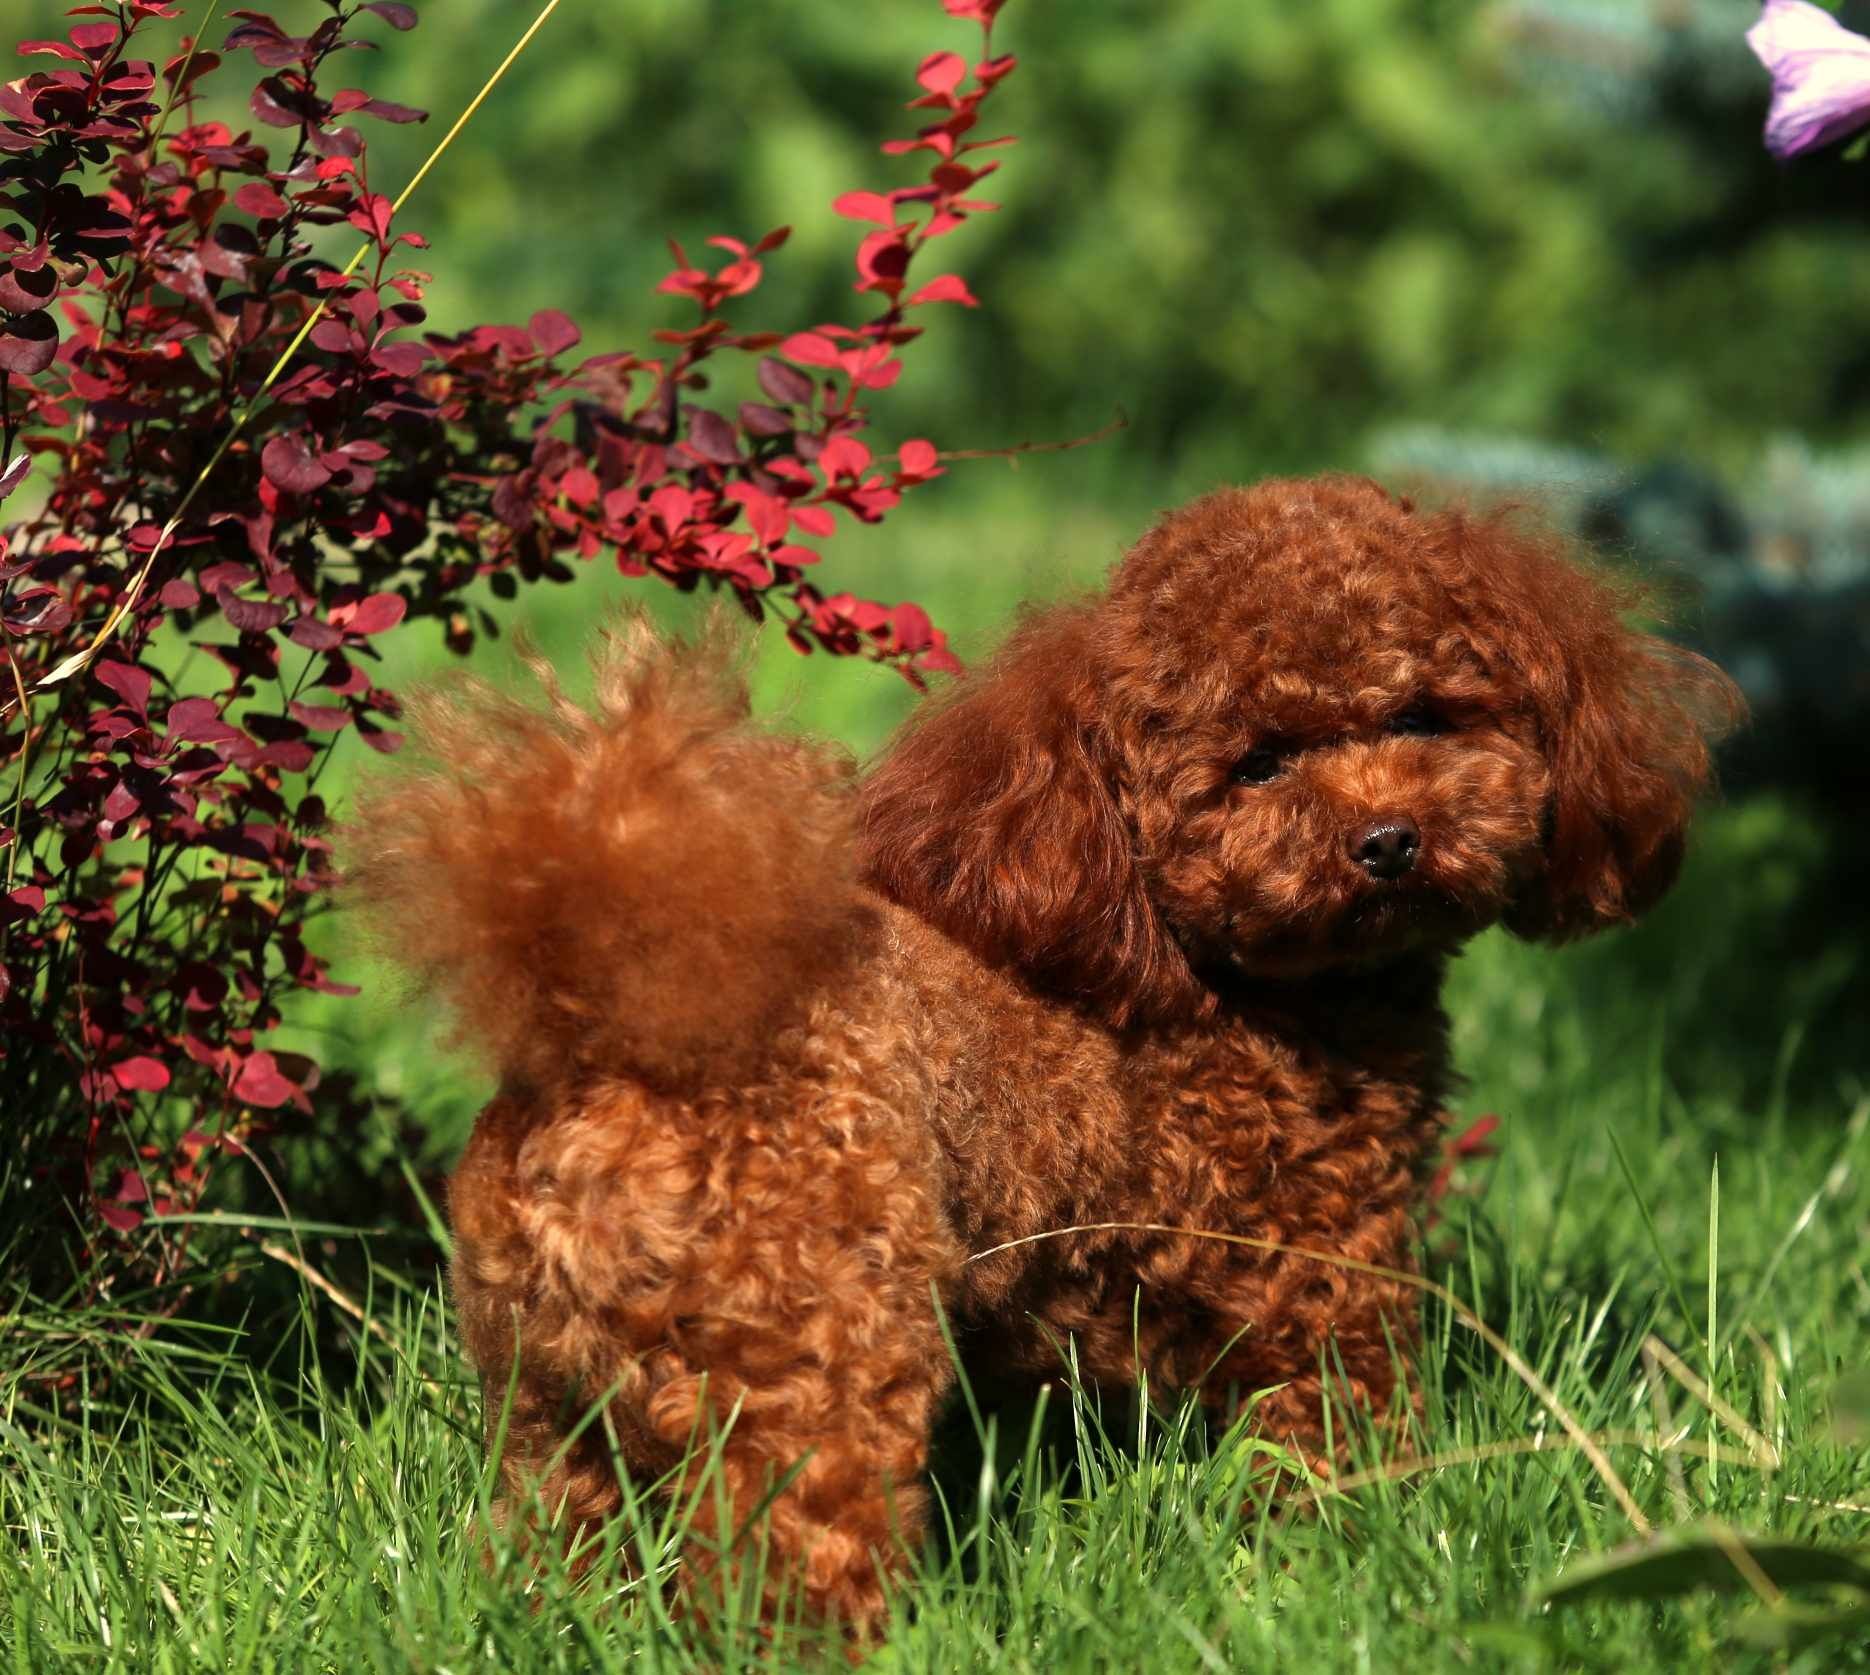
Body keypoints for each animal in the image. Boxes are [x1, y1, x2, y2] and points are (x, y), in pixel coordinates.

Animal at [347, 478, 1735, 1630]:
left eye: (1423, 716)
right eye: (1257, 763)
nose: (1389, 841)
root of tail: (608, 1033)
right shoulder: (1316, 1271)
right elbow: (1335, 1434)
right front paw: (1363, 1541)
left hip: (544, 1391)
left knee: (551, 1528)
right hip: (807, 1363)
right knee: (793, 1560)